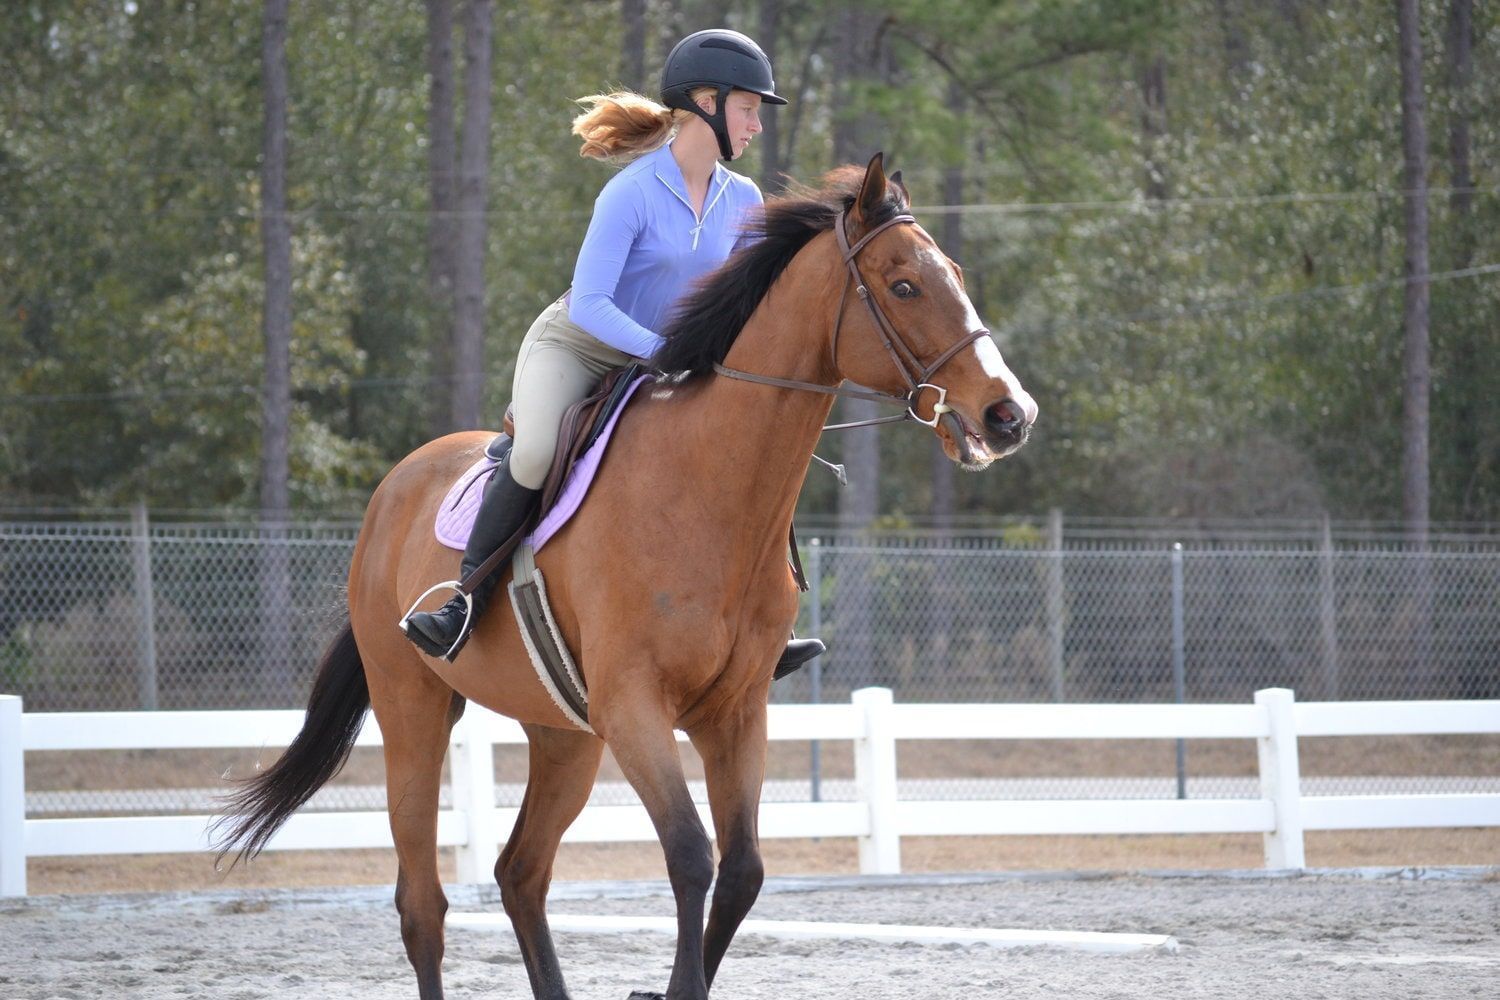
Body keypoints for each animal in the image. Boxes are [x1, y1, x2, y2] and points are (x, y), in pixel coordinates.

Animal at [213, 153, 1037, 1000]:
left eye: (956, 275)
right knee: (422, 905)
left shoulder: (733, 713)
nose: (1011, 415)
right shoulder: (636, 707)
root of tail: (391, 493)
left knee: (520, 873)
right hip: (414, 708)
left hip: (565, 736)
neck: (711, 490)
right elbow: (691, 856)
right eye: (904, 285)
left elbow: (742, 871)